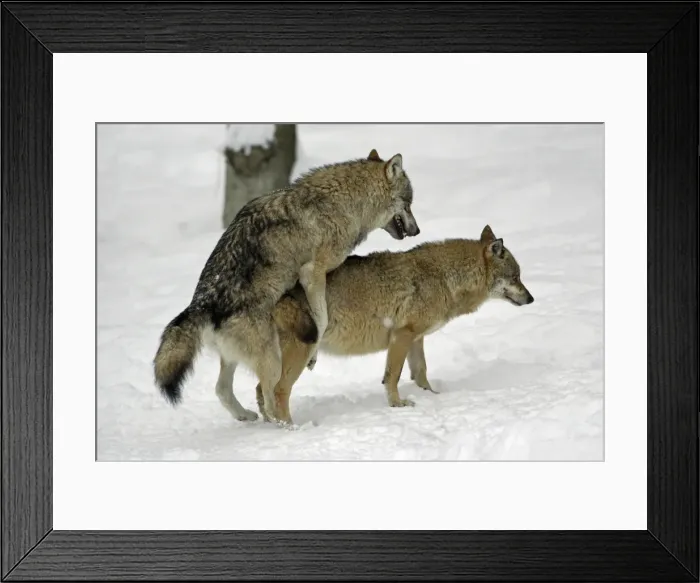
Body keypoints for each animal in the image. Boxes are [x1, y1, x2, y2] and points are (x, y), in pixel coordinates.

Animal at [153, 149, 420, 422]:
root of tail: (201, 306)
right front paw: (313, 355)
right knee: (271, 395)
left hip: (237, 358)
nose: (418, 230)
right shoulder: (313, 273)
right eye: (409, 204)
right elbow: (321, 320)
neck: (347, 201)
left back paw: (246, 416)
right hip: (272, 360)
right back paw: (288, 427)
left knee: (223, 390)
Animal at [254, 224, 534, 425]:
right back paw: (290, 428)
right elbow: (393, 376)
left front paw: (431, 396)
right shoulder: (402, 335)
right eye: (516, 277)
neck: (445, 278)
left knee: (261, 391)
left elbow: (421, 372)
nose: (531, 299)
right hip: (300, 356)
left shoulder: (417, 338)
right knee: (278, 391)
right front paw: (398, 406)